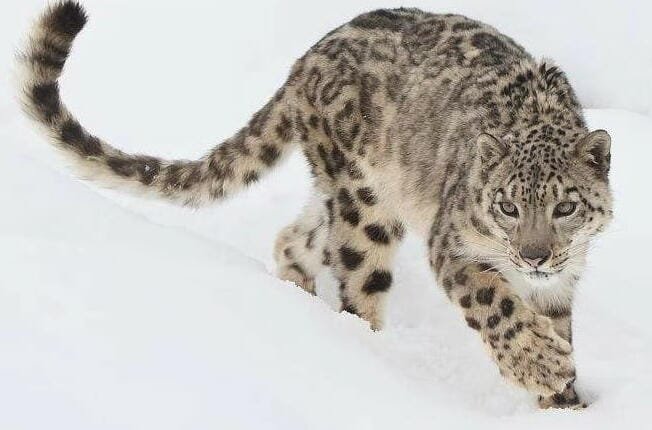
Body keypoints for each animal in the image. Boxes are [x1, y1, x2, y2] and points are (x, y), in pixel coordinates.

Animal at [18, 2, 613, 410]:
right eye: (507, 206)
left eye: (565, 208)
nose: (534, 257)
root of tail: (310, 55)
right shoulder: (456, 247)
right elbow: (497, 305)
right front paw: (544, 367)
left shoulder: (561, 284)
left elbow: (556, 323)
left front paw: (565, 401)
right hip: (366, 203)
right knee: (359, 280)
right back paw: (364, 352)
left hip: (339, 195)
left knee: (296, 237)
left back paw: (297, 295)